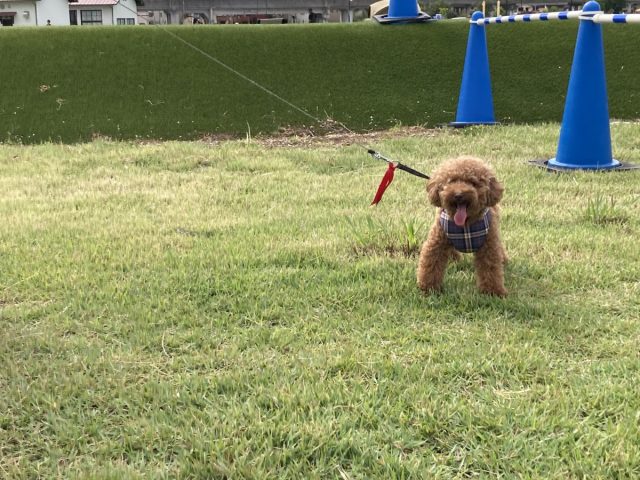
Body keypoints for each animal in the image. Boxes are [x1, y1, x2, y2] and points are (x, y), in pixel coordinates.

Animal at [416, 156, 507, 296]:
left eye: (472, 182)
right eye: (452, 181)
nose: (458, 195)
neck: (465, 226)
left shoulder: (489, 245)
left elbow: (491, 267)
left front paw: (493, 292)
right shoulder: (437, 242)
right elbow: (431, 263)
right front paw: (428, 288)